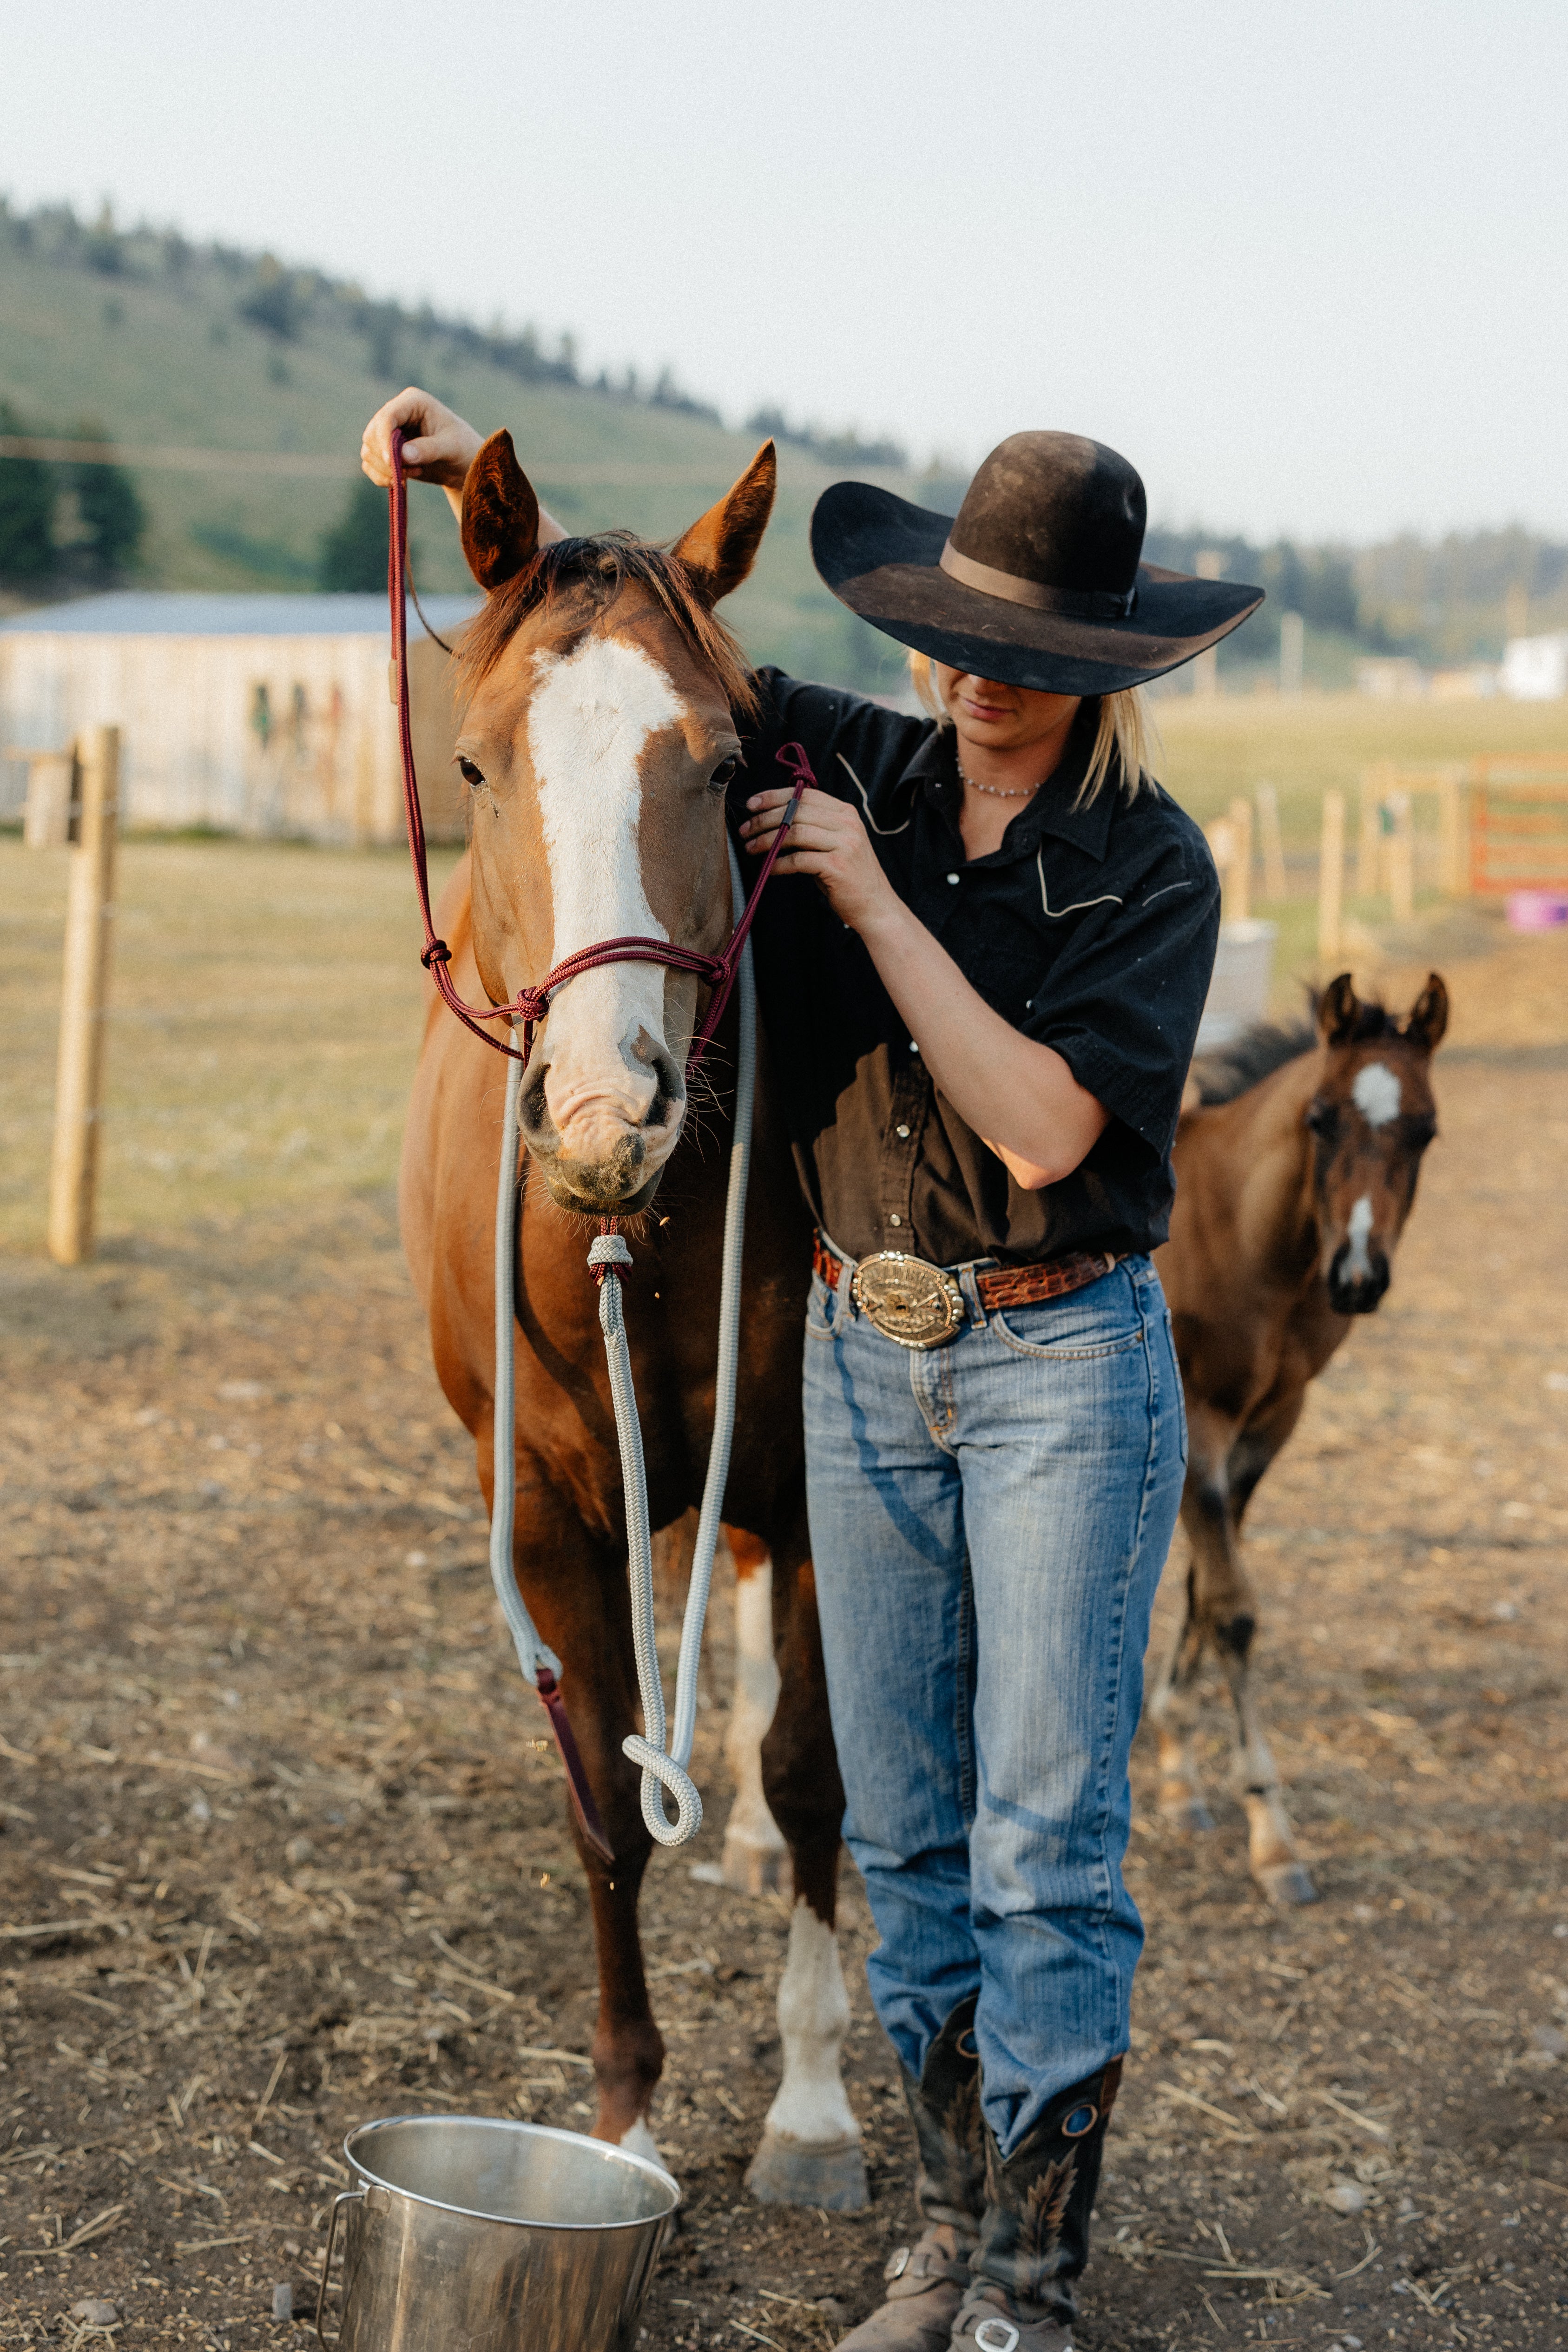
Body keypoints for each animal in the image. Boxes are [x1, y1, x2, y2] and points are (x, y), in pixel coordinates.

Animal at [399, 437, 865, 2201]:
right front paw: (621, 2121)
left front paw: (811, 2105)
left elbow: (815, 1770)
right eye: (472, 763)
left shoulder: (804, 1484)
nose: (609, 1107)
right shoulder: (542, 1512)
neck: (623, 1230)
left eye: (726, 764)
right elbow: (601, 1792)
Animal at [1152, 974, 1448, 1910]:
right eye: (1318, 1118)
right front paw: (1272, 1836)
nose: (1356, 1276)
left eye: (1424, 1129)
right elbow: (1232, 1607)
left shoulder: (1270, 1424)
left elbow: (1201, 1590)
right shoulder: (1199, 1425)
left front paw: (1174, 1768)